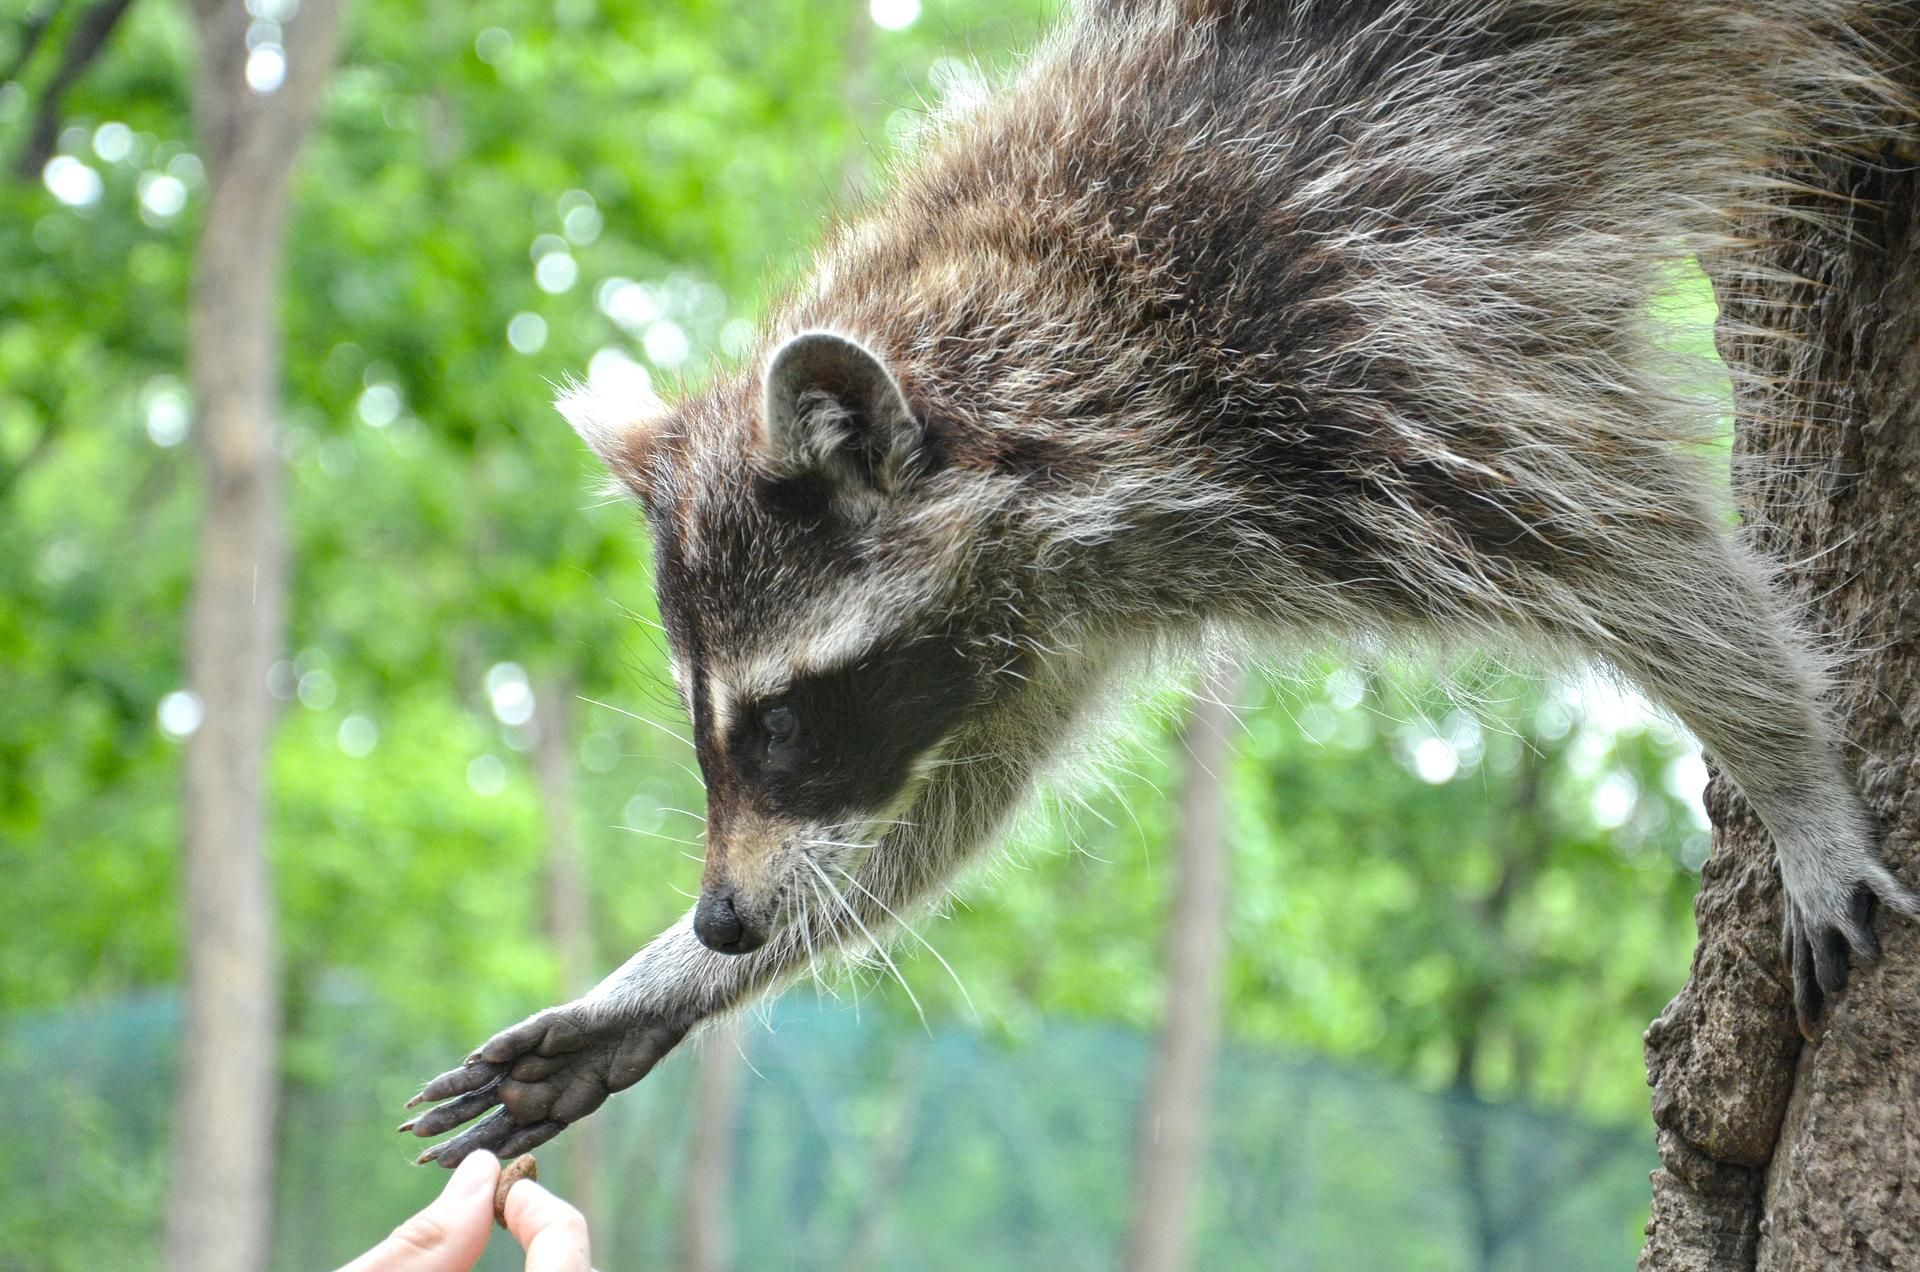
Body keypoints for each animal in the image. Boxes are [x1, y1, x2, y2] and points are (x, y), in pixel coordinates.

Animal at [401, 0, 1920, 1168]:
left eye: (780, 721)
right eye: (709, 726)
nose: (722, 918)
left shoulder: (1368, 345)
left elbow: (1645, 554)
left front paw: (1790, 772)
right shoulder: (1042, 615)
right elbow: (946, 798)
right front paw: (657, 986)